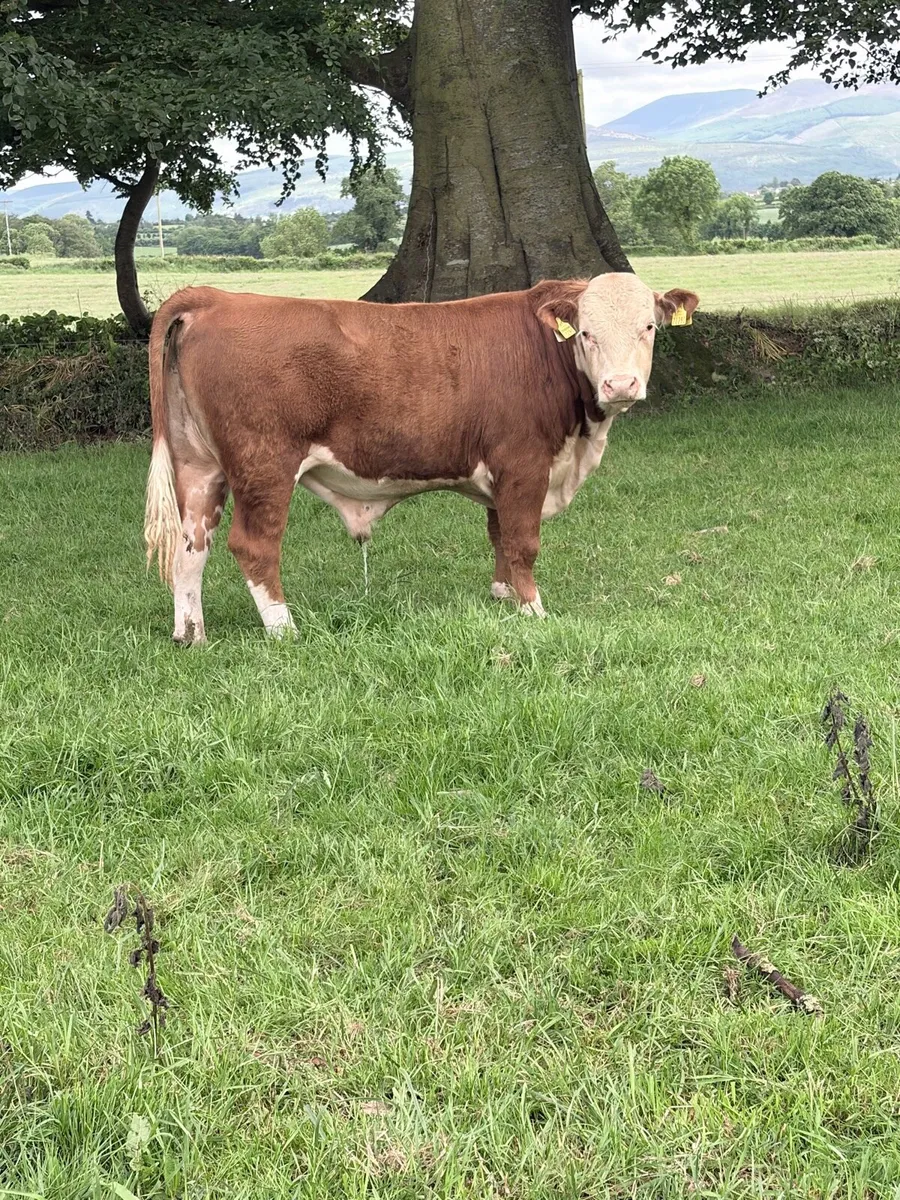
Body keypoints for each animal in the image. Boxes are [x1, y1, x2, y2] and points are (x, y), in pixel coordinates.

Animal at [144, 273, 699, 642]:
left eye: (649, 327)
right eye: (586, 332)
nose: (621, 385)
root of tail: (216, 298)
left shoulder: (501, 473)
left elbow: (499, 534)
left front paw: (501, 596)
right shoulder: (523, 463)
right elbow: (523, 541)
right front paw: (532, 610)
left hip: (200, 467)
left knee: (191, 547)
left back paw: (191, 634)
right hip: (264, 464)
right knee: (254, 546)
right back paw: (286, 630)